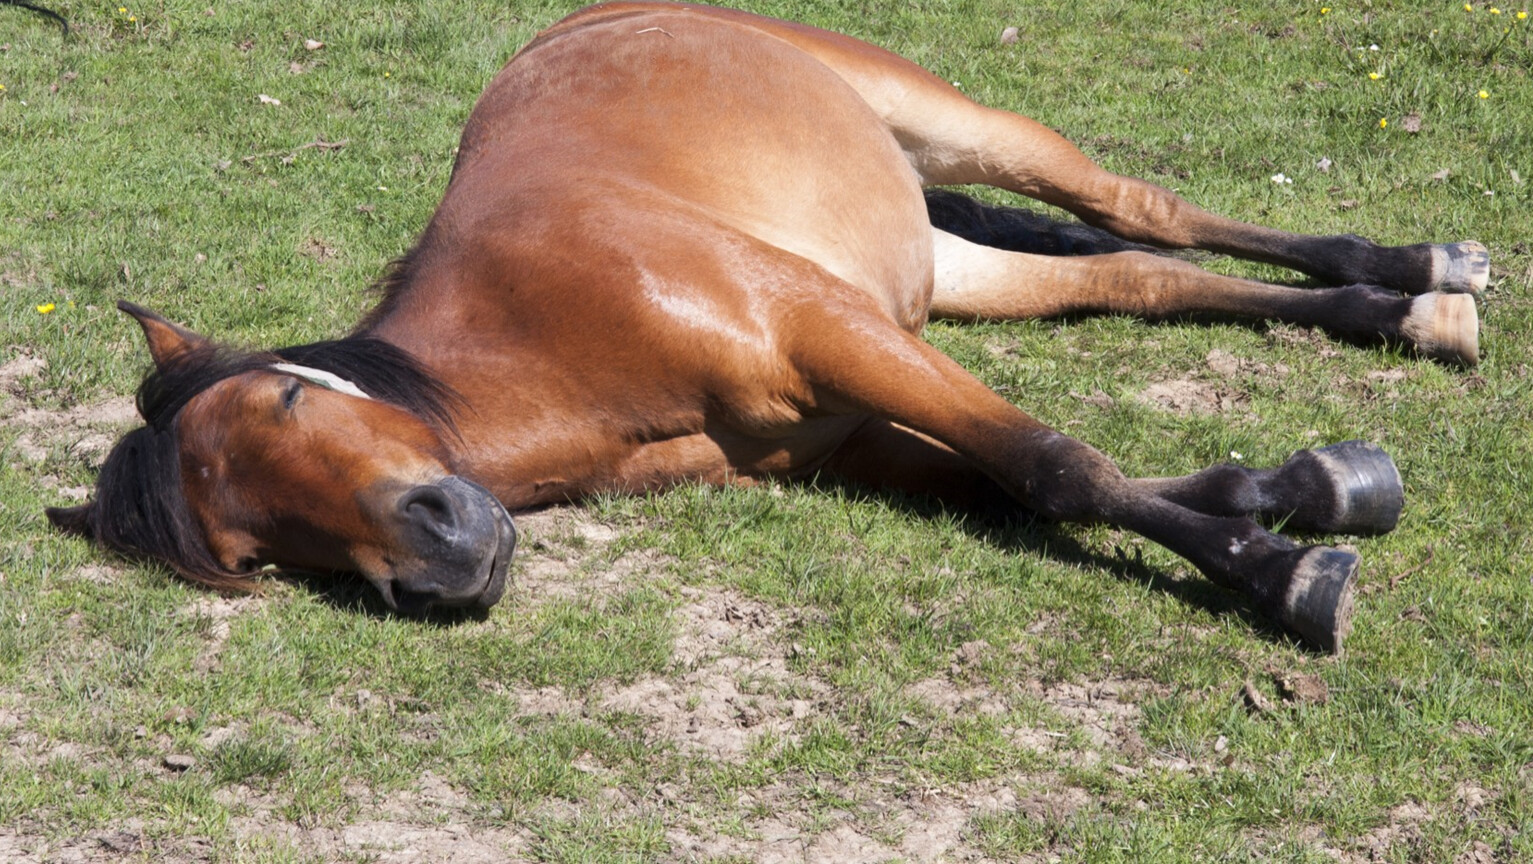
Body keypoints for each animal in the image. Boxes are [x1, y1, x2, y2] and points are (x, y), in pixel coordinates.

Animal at [50, 1, 1483, 655]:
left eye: (290, 398)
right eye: (255, 552)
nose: (440, 558)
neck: (552, 337)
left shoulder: (835, 332)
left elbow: (1056, 466)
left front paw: (1285, 577)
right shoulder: (842, 434)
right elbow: (1023, 483)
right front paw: (1304, 489)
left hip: (951, 131)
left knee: (1139, 209)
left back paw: (1430, 272)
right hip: (940, 266)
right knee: (1136, 272)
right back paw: (1409, 303)